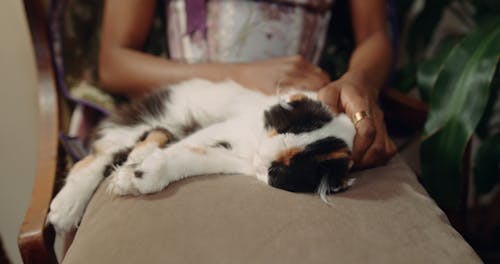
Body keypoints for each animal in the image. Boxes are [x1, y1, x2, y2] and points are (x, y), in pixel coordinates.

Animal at [47, 79, 356, 233]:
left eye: (279, 171)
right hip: (150, 120)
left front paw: (139, 175)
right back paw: (65, 209)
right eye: (285, 128)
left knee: (152, 138)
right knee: (95, 158)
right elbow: (184, 147)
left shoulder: (238, 161)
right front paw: (132, 176)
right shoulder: (227, 128)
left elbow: (190, 156)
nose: (263, 155)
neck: (251, 145)